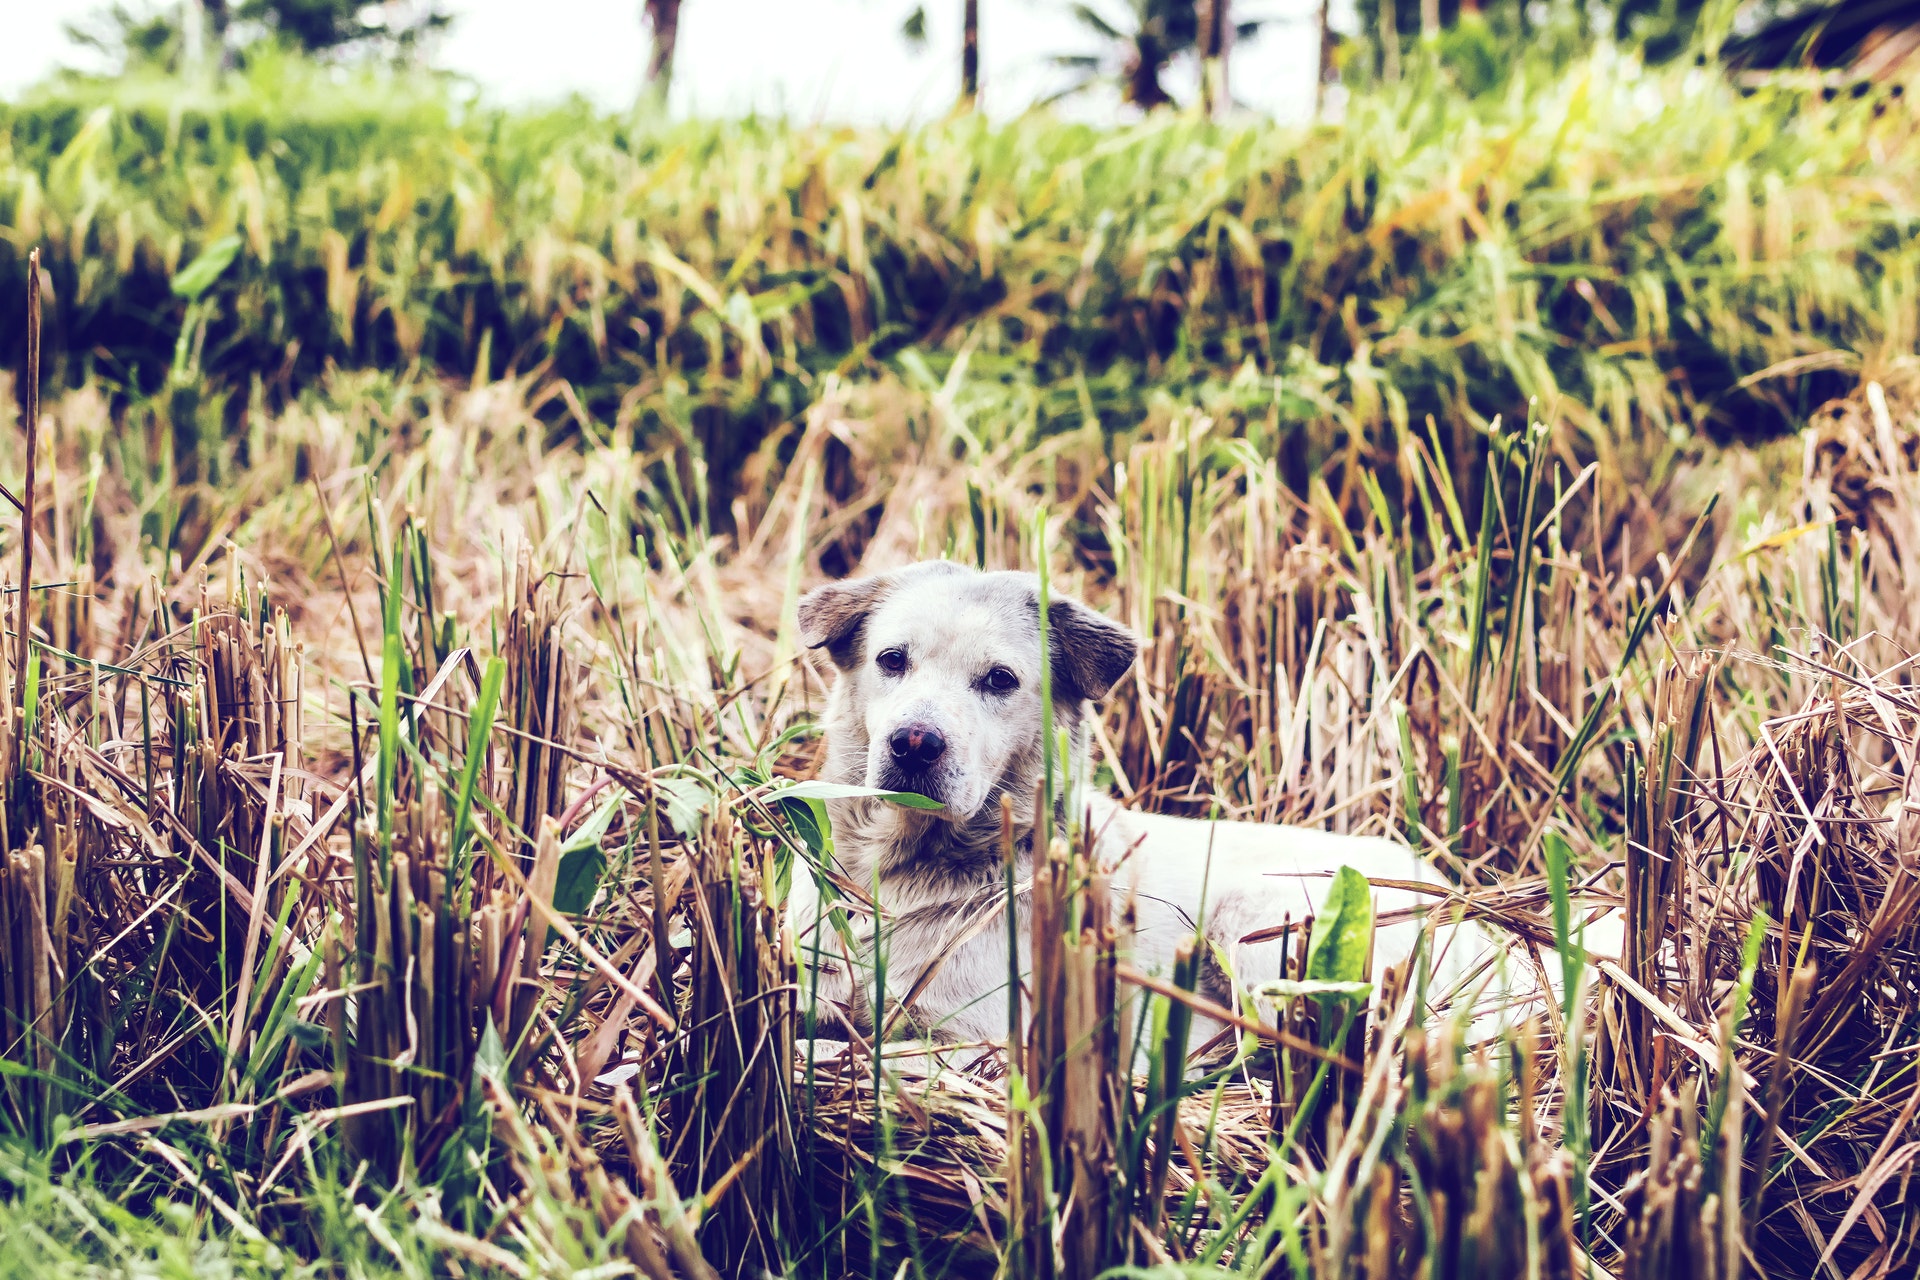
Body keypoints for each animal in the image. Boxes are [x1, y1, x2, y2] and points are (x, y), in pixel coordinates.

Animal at [779, 564, 1605, 1059]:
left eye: (1000, 680)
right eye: (892, 660)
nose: (915, 743)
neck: (906, 875)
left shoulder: (978, 1042)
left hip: (1263, 922)